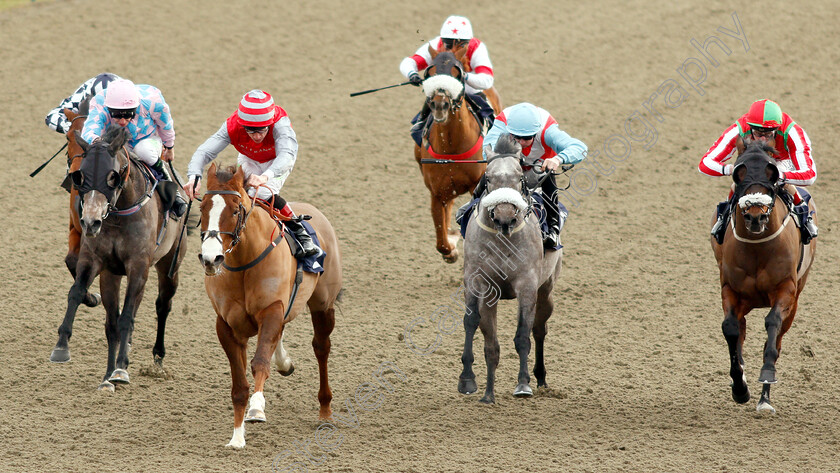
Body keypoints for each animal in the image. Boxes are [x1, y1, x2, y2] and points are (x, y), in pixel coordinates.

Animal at [51, 124, 186, 390]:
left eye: (112, 177)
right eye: (81, 176)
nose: (90, 221)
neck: (120, 214)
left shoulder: (138, 266)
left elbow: (126, 318)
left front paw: (121, 369)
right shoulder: (96, 261)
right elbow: (78, 294)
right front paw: (62, 346)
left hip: (169, 264)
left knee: (162, 305)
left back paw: (157, 357)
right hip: (113, 275)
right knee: (115, 321)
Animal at [198, 164, 342, 448]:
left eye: (235, 209)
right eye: (202, 209)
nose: (211, 258)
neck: (245, 263)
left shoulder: (272, 309)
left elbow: (260, 361)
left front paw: (256, 408)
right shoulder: (227, 325)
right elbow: (239, 384)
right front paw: (237, 437)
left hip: (323, 305)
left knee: (321, 348)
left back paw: (325, 412)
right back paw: (284, 363)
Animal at [416, 46, 502, 264]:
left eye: (457, 73)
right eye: (431, 72)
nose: (440, 105)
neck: (451, 147)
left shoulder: (476, 187)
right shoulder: (437, 193)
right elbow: (441, 241)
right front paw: (451, 247)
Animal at [456, 135, 560, 404]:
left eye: (519, 177)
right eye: (488, 177)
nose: (505, 217)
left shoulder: (527, 285)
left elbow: (523, 334)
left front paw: (523, 384)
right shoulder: (479, 282)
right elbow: (477, 328)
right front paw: (474, 385)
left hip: (546, 289)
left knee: (539, 329)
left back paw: (540, 378)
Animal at [712, 140, 816, 412]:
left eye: (772, 173)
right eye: (739, 173)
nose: (755, 216)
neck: (757, 248)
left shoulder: (786, 290)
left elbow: (772, 327)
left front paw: (766, 376)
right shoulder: (730, 290)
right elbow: (730, 329)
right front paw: (739, 387)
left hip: (795, 300)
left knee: (777, 338)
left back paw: (765, 398)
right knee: (740, 329)